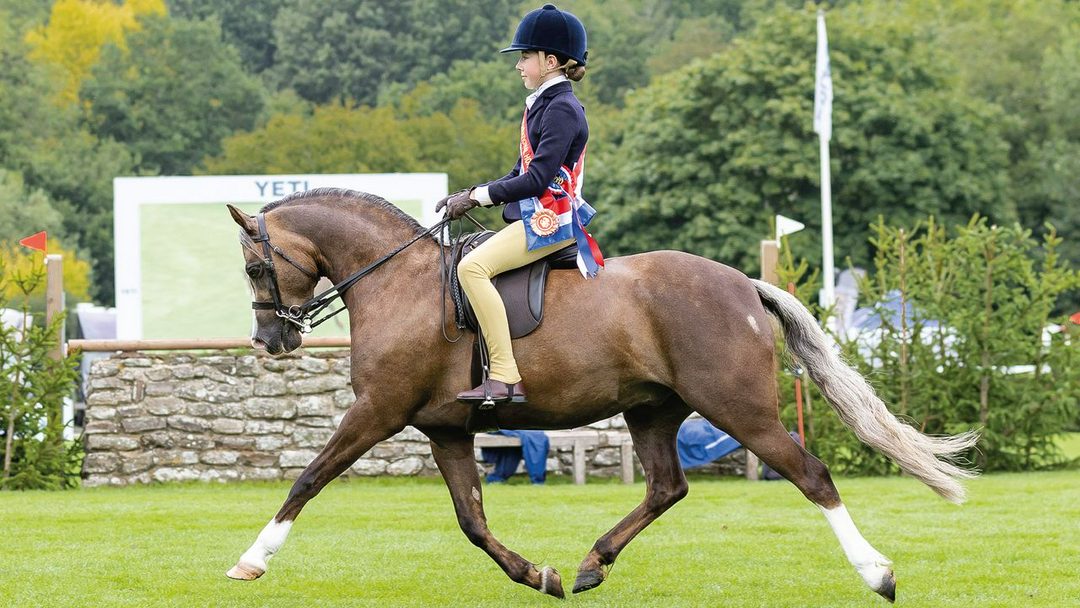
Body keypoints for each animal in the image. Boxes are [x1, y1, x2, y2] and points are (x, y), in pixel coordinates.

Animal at [223, 188, 977, 601]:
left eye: (256, 267)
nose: (270, 340)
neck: (396, 282)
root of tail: (743, 284)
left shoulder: (376, 413)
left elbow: (308, 479)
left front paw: (252, 560)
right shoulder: (447, 431)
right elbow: (472, 522)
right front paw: (539, 575)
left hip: (741, 410)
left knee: (810, 474)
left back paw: (877, 574)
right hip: (651, 410)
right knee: (668, 486)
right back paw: (590, 566)